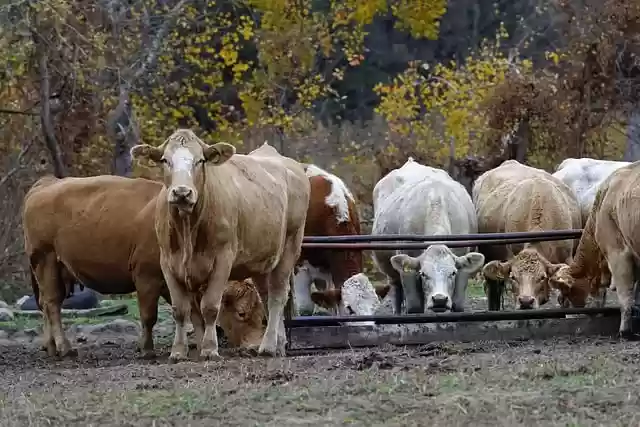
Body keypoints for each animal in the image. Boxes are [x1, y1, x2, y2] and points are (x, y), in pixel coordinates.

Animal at [22, 175, 171, 358]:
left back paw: (50, 346)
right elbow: (149, 316)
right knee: (52, 303)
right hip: (46, 260)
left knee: (45, 303)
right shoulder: (147, 275)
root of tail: (48, 181)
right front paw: (147, 349)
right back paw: (64, 347)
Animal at [130, 130, 310, 361]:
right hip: (262, 260)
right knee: (266, 295)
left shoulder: (223, 260)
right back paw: (279, 344)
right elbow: (181, 310)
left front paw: (209, 349)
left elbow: (209, 307)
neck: (188, 229)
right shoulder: (168, 262)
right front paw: (178, 351)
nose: (182, 192)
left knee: (278, 295)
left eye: (200, 160)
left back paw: (268, 346)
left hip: (290, 245)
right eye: (165, 160)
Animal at [371, 158, 485, 314]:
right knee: (396, 292)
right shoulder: (408, 271)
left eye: (452, 273)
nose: (439, 299)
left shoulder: (462, 268)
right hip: (391, 273)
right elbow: (414, 306)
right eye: (423, 274)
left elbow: (457, 305)